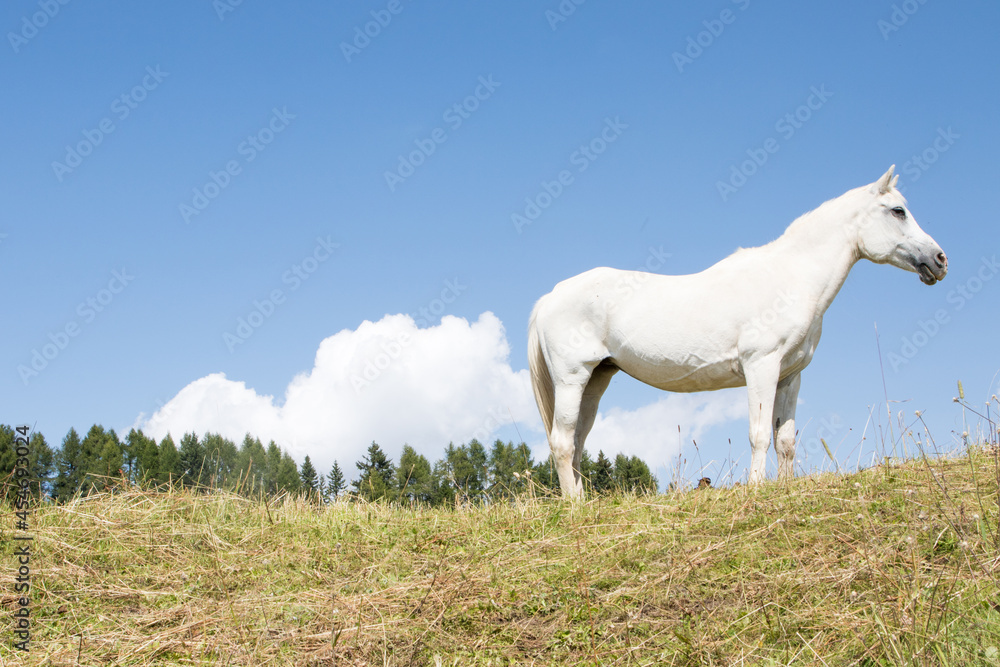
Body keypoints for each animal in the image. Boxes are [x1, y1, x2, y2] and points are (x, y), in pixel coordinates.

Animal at [528, 166, 948, 498]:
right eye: (898, 211)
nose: (940, 260)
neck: (791, 278)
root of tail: (549, 298)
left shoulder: (790, 376)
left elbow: (785, 440)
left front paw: (784, 487)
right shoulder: (761, 366)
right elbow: (759, 433)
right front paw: (758, 488)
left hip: (597, 379)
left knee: (577, 441)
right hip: (571, 378)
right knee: (562, 442)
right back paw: (575, 507)